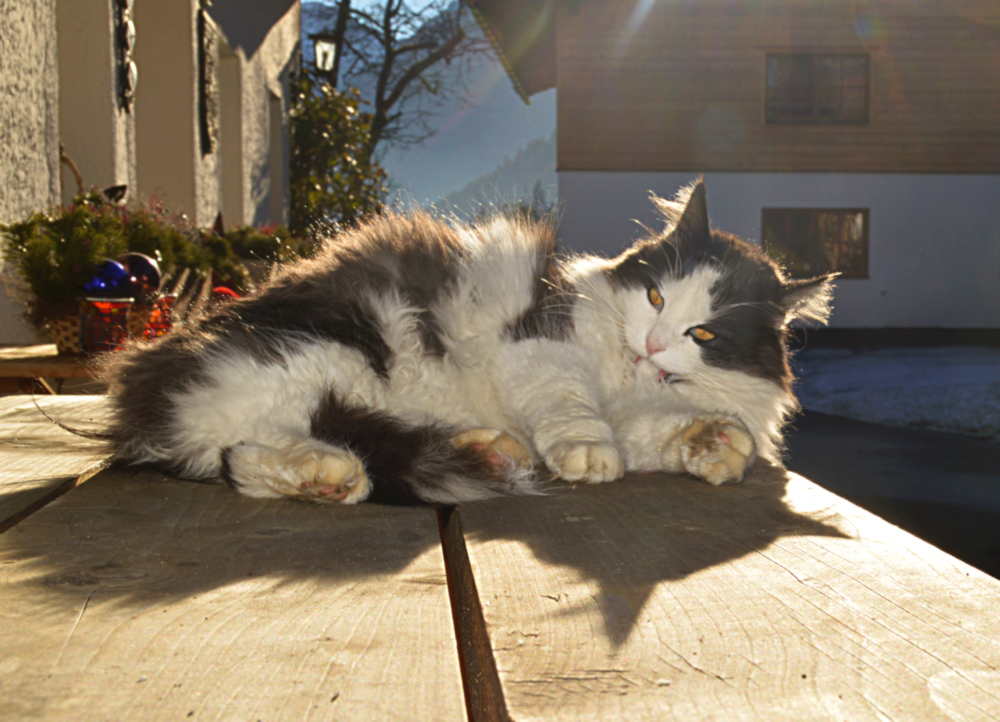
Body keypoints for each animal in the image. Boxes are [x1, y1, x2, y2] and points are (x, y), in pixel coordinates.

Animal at [105, 179, 832, 504]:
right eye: (654, 296)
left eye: (702, 333)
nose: (650, 345)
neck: (627, 380)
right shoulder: (538, 342)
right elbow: (573, 408)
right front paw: (587, 452)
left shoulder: (647, 407)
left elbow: (670, 431)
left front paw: (714, 445)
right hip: (316, 356)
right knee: (244, 454)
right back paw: (331, 477)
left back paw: (480, 449)